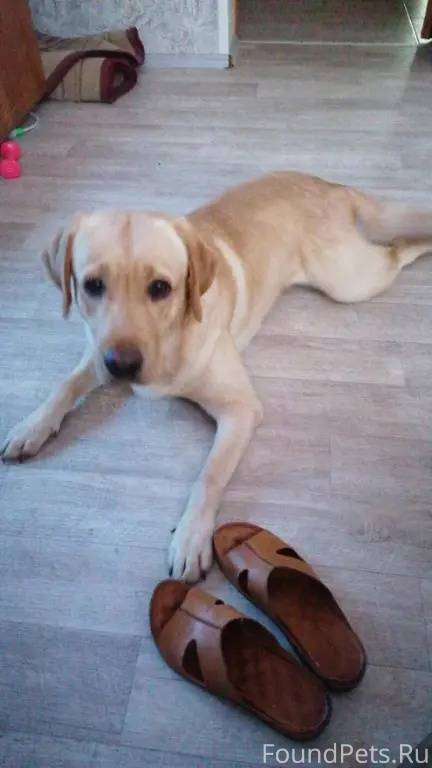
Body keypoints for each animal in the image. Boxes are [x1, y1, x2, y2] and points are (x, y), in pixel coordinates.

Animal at [2, 171, 432, 582]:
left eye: (160, 288)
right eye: (92, 285)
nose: (121, 366)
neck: (172, 341)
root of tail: (327, 183)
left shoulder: (240, 409)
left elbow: (208, 476)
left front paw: (191, 537)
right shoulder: (95, 352)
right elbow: (64, 385)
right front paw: (31, 426)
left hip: (349, 280)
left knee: (396, 252)